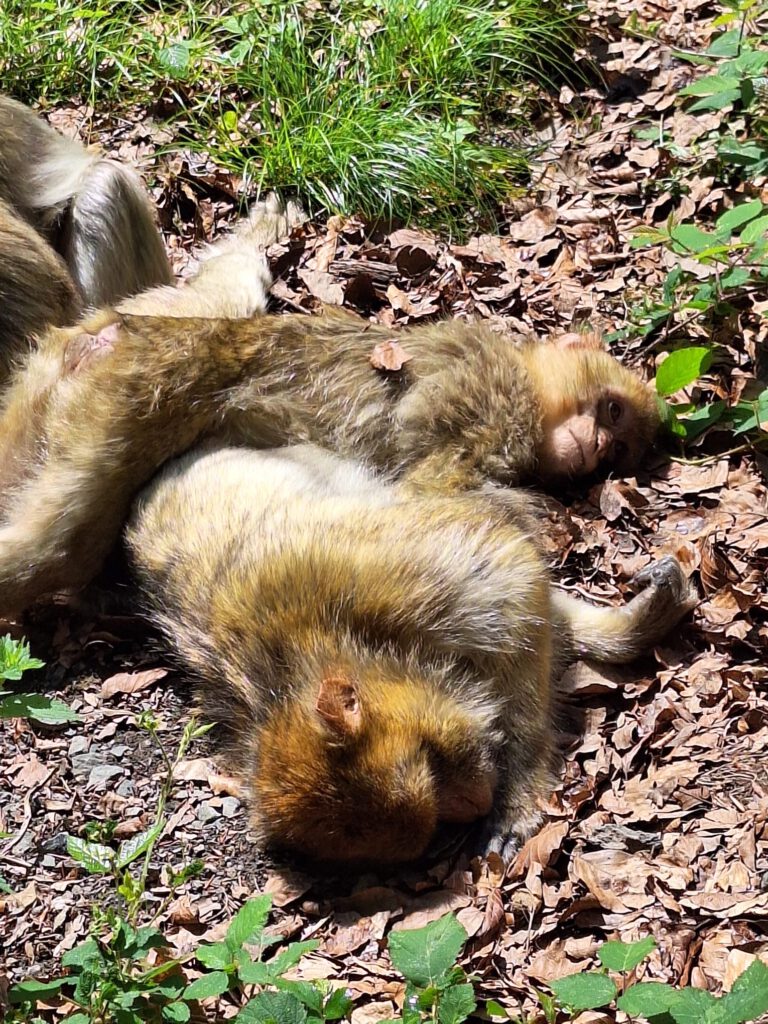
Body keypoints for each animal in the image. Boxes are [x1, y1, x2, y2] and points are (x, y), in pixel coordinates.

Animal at [124, 442, 697, 864]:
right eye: (438, 819)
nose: (478, 804)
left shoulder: (387, 580)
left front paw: (517, 795)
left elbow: (512, 580)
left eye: (432, 762)